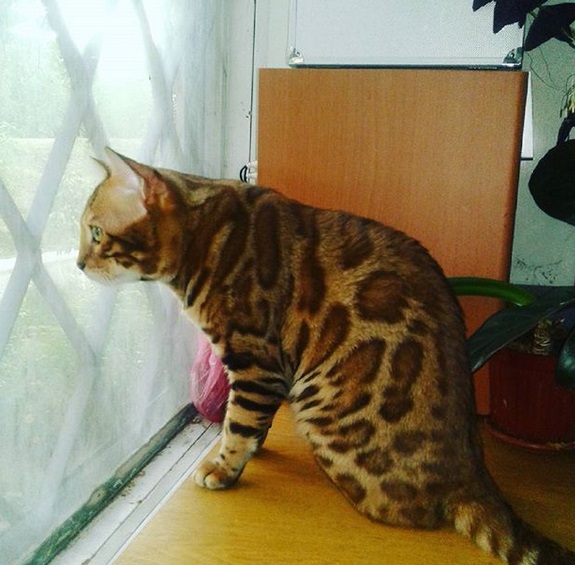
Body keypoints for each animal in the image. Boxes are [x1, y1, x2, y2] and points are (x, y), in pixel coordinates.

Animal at [77, 149, 575, 564]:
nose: (79, 264)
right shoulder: (269, 369)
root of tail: (471, 474)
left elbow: (239, 422)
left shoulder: (255, 358)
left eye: (96, 232)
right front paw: (250, 450)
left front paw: (224, 466)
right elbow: (251, 422)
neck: (208, 235)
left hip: (321, 411)